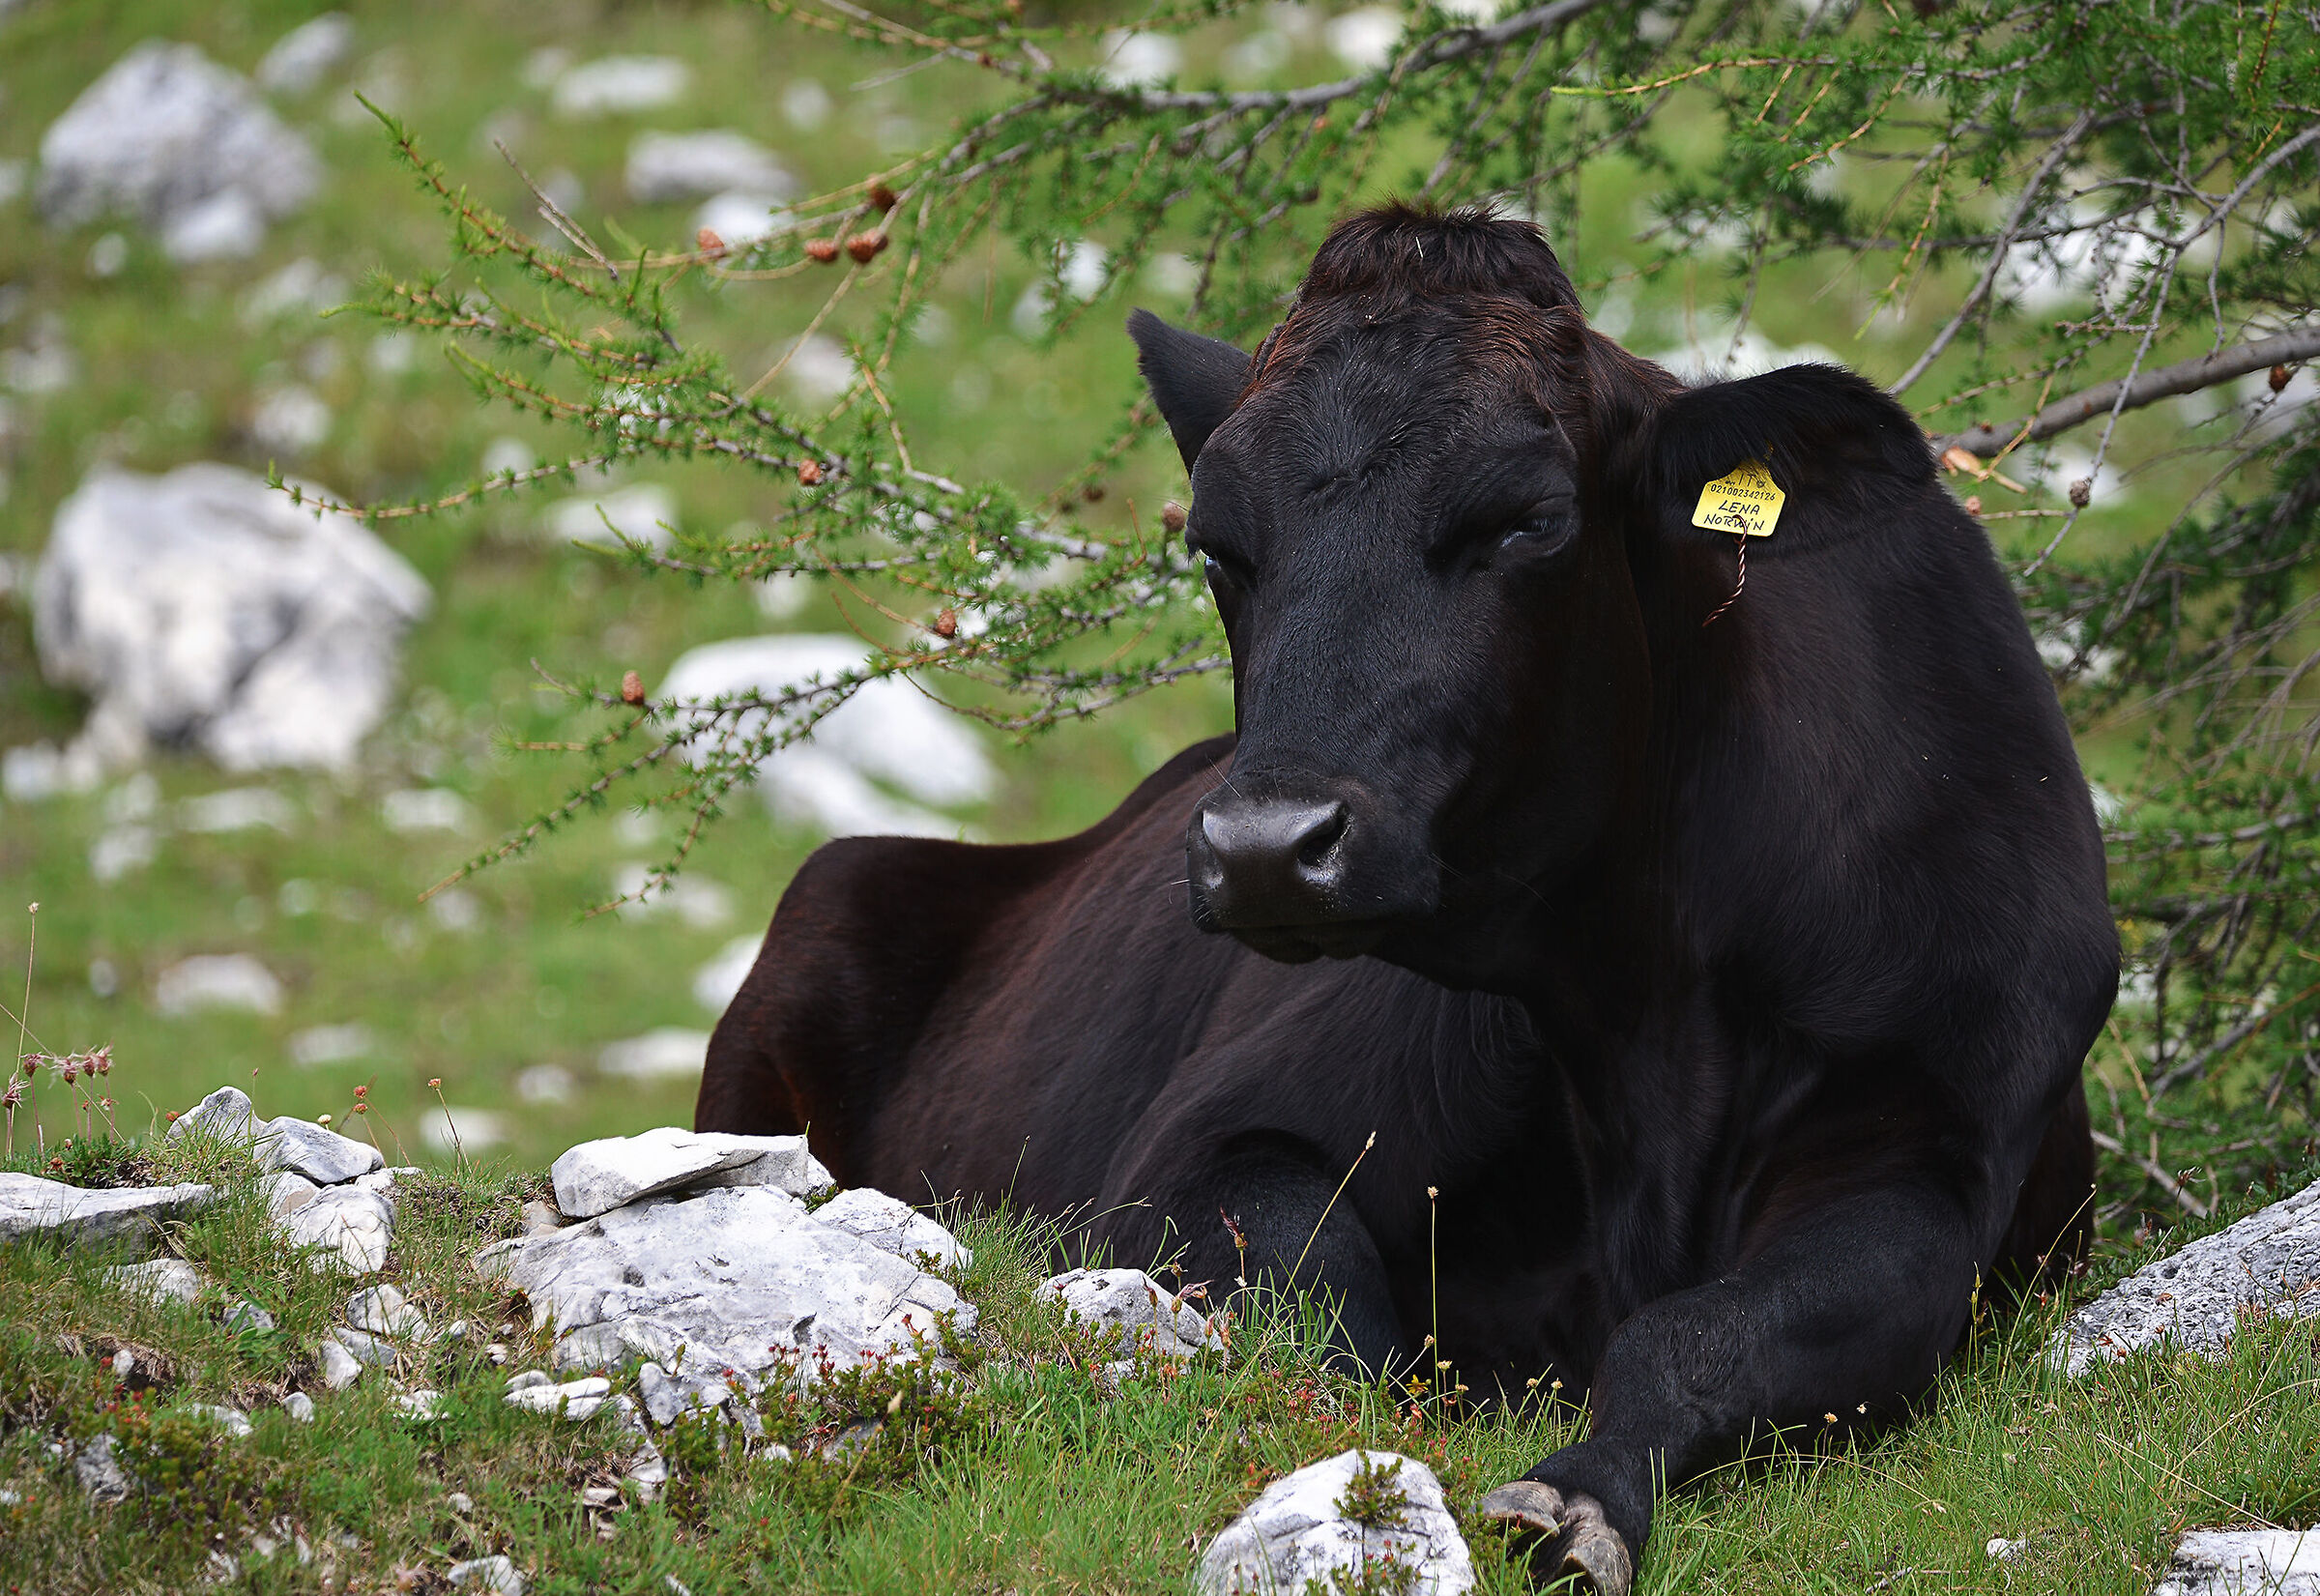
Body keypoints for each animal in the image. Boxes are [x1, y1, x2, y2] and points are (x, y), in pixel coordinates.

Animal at [696, 203, 2117, 1592]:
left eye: (1527, 521)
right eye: (1218, 544)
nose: (1267, 846)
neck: (1645, 1027)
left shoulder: (1938, 1153)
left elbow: (1702, 1332)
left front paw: (1580, 1492)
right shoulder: (1201, 1139)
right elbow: (1329, 1327)